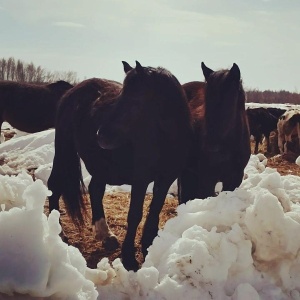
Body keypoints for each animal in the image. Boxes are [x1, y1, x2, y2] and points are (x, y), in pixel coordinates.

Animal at [47, 61, 192, 272]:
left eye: (135, 101)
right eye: (120, 96)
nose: (101, 136)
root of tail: (72, 92)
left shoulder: (165, 179)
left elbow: (154, 210)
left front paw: (148, 245)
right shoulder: (141, 179)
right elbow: (134, 215)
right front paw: (129, 257)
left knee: (95, 189)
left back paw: (105, 235)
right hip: (64, 152)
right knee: (54, 186)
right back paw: (58, 233)